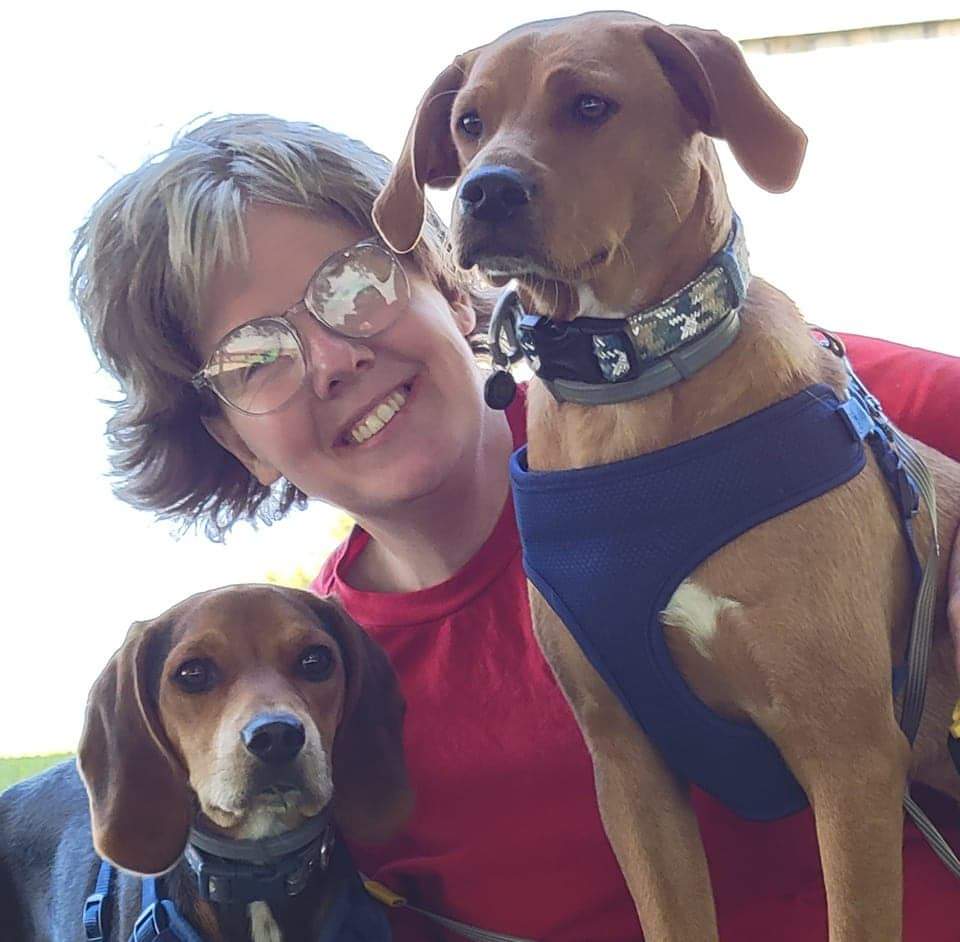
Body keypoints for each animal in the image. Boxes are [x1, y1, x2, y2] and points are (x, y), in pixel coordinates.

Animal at [374, 14, 960, 942]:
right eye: (469, 122)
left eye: (590, 105)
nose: (484, 191)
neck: (630, 388)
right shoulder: (628, 769)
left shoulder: (851, 756)